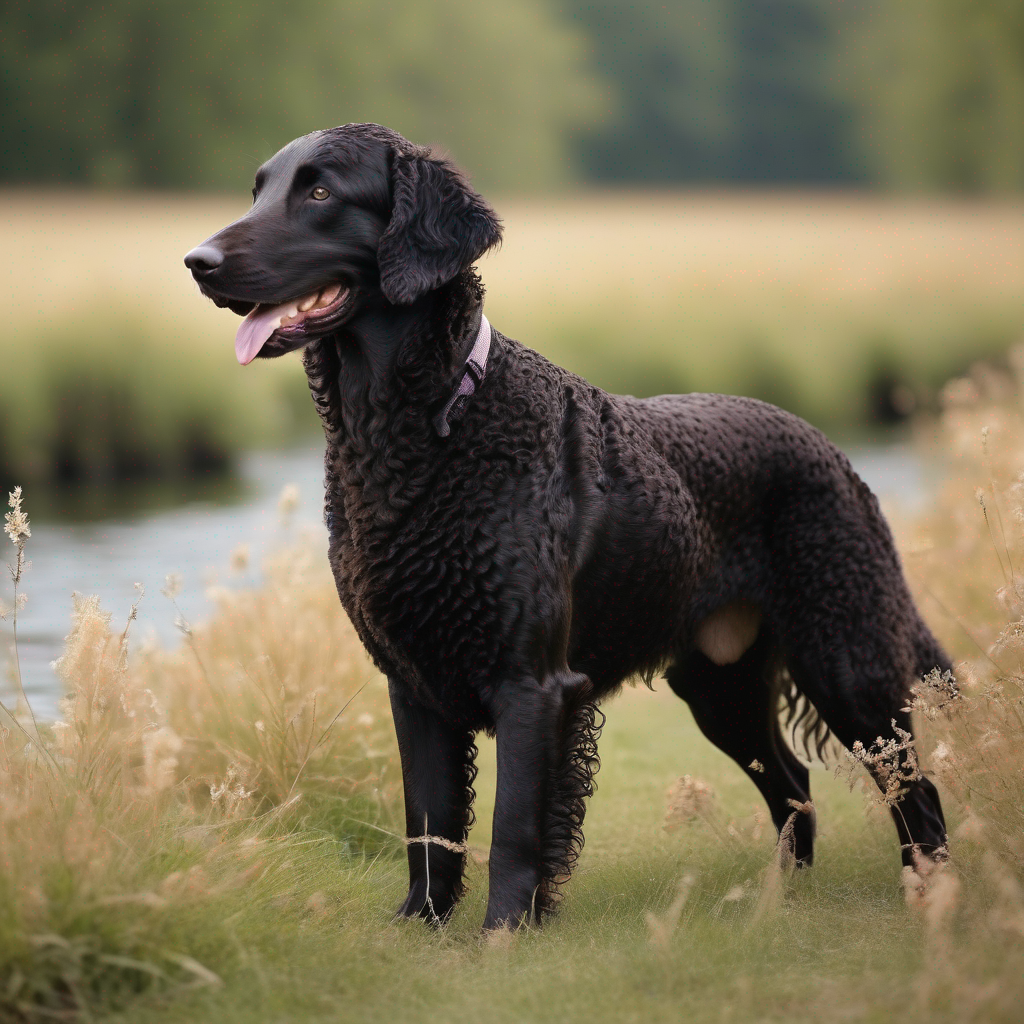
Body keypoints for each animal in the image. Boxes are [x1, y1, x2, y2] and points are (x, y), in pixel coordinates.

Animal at [186, 123, 950, 933]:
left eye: (321, 191)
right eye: (259, 191)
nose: (196, 263)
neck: (417, 430)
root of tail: (831, 448)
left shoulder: (532, 684)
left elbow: (513, 829)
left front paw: (502, 936)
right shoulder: (412, 684)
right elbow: (429, 823)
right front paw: (419, 926)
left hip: (848, 661)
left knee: (915, 790)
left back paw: (932, 897)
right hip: (720, 683)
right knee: (794, 784)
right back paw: (777, 903)